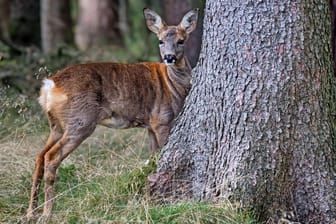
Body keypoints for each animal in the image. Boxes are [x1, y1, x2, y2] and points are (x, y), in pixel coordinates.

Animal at [25, 7, 200, 221]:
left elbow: (153, 157)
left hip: (57, 125)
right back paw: (47, 214)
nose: (169, 57)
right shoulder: (163, 120)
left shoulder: (151, 125)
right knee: (51, 157)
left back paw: (30, 213)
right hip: (80, 121)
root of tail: (49, 86)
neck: (174, 86)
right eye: (160, 40)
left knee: (39, 157)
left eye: (181, 40)